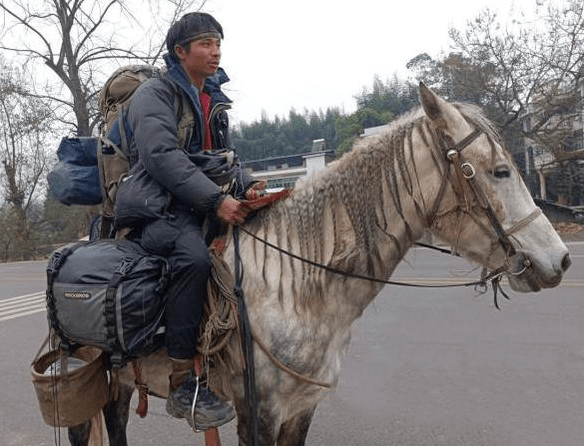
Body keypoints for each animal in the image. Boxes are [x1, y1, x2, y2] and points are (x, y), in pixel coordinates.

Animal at [70, 83, 568, 446]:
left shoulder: (301, 407)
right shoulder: (257, 412)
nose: (560, 260)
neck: (294, 288)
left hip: (120, 381)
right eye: (500, 171)